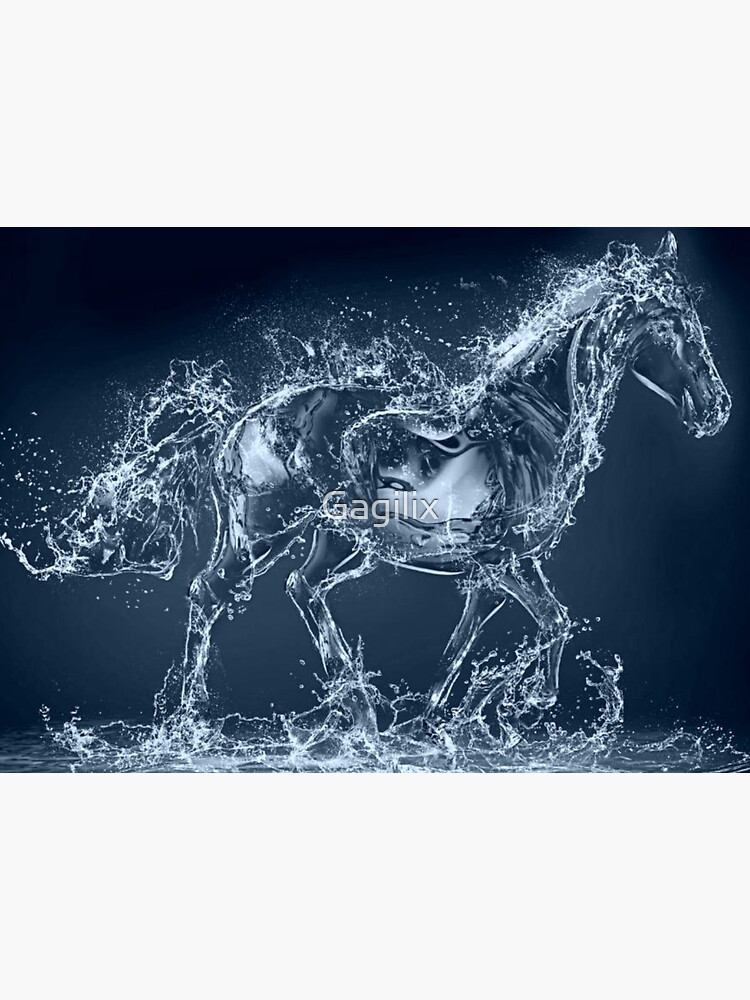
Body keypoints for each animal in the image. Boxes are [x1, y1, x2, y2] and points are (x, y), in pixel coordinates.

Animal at [171, 232, 730, 730]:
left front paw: (441, 718)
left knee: (299, 586)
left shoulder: (501, 567)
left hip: (340, 541)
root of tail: (239, 427)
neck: (533, 424)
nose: (717, 410)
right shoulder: (501, 561)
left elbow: (464, 644)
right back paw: (194, 722)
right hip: (263, 534)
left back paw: (355, 709)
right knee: (210, 591)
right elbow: (554, 623)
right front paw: (518, 703)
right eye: (673, 325)